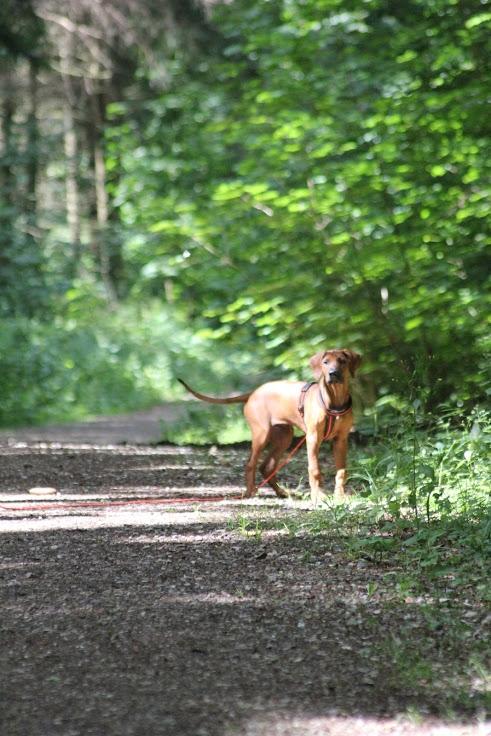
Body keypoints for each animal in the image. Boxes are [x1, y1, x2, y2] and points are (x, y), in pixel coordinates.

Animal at [178, 350, 362, 504]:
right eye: (325, 362)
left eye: (342, 361)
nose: (333, 373)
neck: (334, 402)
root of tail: (253, 393)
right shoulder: (313, 438)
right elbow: (314, 469)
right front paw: (318, 496)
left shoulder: (341, 440)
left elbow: (341, 472)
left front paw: (340, 496)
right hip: (261, 434)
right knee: (251, 464)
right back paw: (250, 492)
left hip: (284, 437)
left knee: (266, 466)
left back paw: (280, 492)